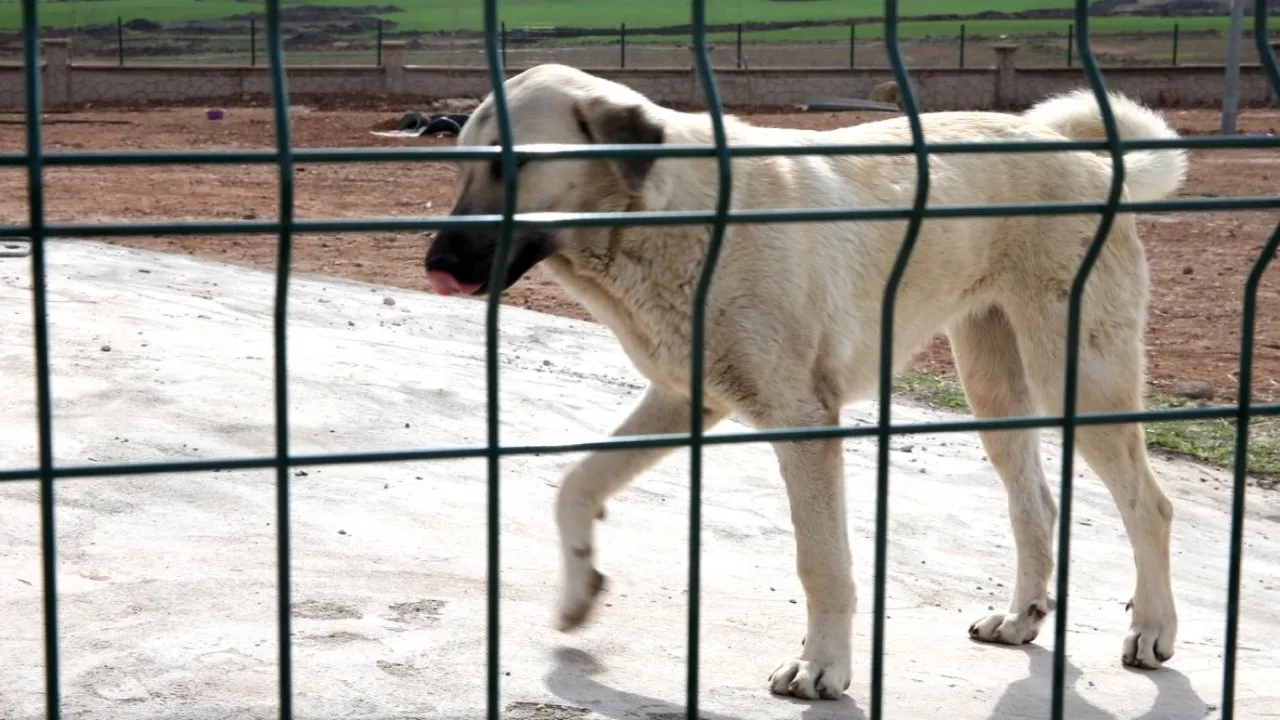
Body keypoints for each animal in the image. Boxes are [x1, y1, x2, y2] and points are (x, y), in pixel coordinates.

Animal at [424, 64, 1182, 696]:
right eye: (463, 164)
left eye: (513, 163)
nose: (435, 262)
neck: (662, 216)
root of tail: (1083, 155)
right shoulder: (685, 398)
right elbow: (576, 483)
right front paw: (579, 585)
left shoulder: (803, 420)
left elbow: (821, 564)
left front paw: (823, 667)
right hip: (995, 388)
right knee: (1036, 506)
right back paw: (1021, 616)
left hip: (1076, 375)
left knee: (1149, 505)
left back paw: (1152, 630)